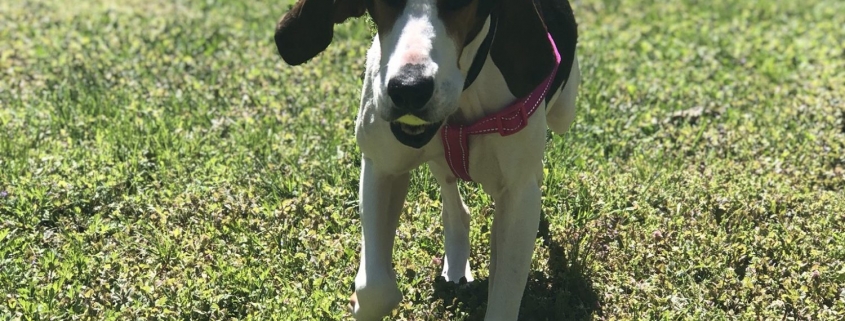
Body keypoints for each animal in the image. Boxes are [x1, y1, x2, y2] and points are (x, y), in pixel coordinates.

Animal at [274, 0, 576, 316]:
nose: (409, 88)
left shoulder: (518, 195)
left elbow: (504, 299)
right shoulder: (381, 166)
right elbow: (375, 289)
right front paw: (360, 301)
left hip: (563, 115)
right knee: (452, 194)